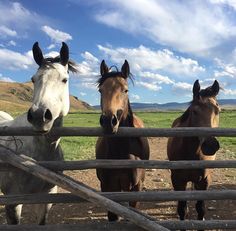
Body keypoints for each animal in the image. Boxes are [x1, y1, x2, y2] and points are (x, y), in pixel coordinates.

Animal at [167, 80, 220, 229]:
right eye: (194, 111)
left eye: (218, 111)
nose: (210, 145)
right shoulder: (178, 180)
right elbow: (182, 209)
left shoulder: (205, 181)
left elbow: (201, 209)